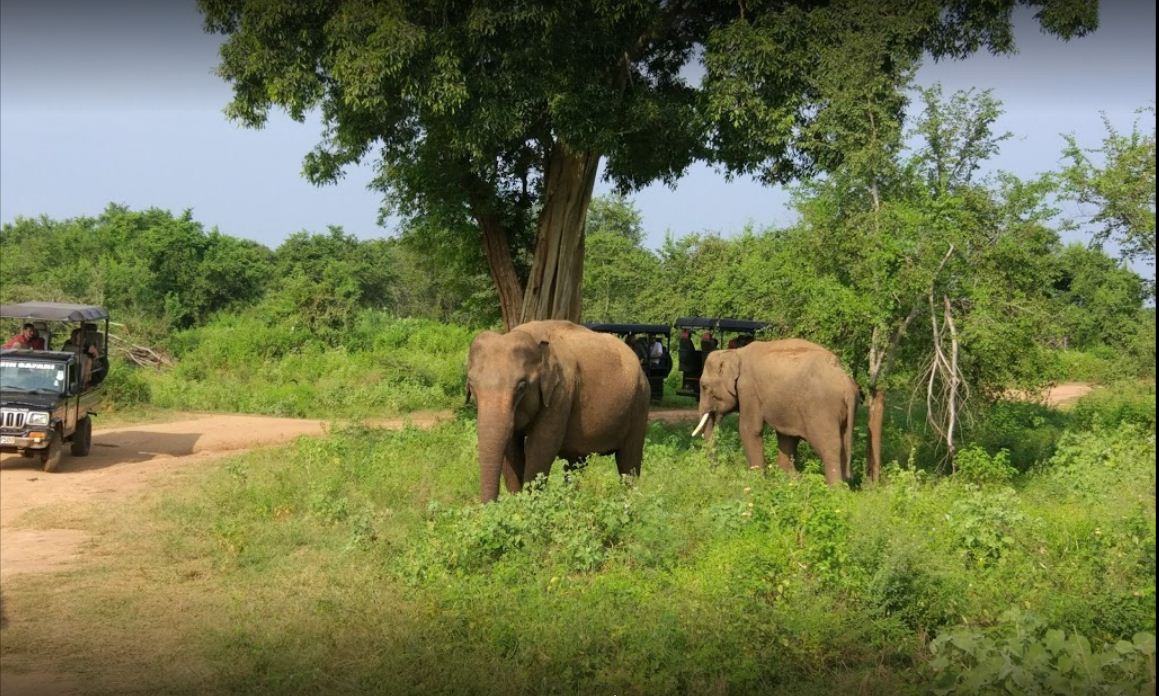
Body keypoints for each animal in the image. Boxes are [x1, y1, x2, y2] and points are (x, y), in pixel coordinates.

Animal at [468, 317, 653, 502]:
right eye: (471, 384)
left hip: (640, 402)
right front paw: (516, 501)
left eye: (522, 387)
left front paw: (528, 502)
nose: (489, 505)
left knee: (629, 462)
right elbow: (513, 447)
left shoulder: (561, 392)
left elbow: (540, 447)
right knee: (576, 462)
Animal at [686, 338, 862, 484]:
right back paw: (844, 486)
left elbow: (750, 429)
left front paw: (757, 481)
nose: (714, 471)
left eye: (704, 386)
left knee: (829, 446)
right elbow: (787, 436)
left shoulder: (748, 389)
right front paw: (790, 480)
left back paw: (835, 490)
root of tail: (847, 385)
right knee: (844, 443)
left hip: (822, 409)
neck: (735, 352)